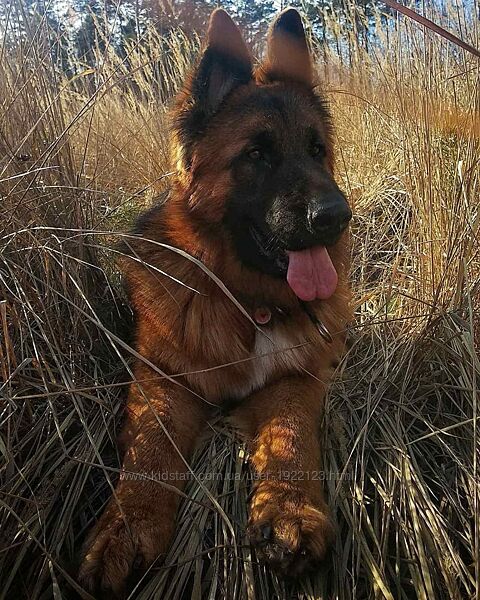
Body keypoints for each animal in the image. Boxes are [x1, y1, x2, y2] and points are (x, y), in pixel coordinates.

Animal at [79, 7, 352, 595]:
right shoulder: (162, 378)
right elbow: (151, 450)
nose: (336, 217)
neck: (248, 303)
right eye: (257, 154)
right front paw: (128, 527)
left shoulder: (296, 377)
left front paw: (289, 511)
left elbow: (292, 436)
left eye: (317, 150)